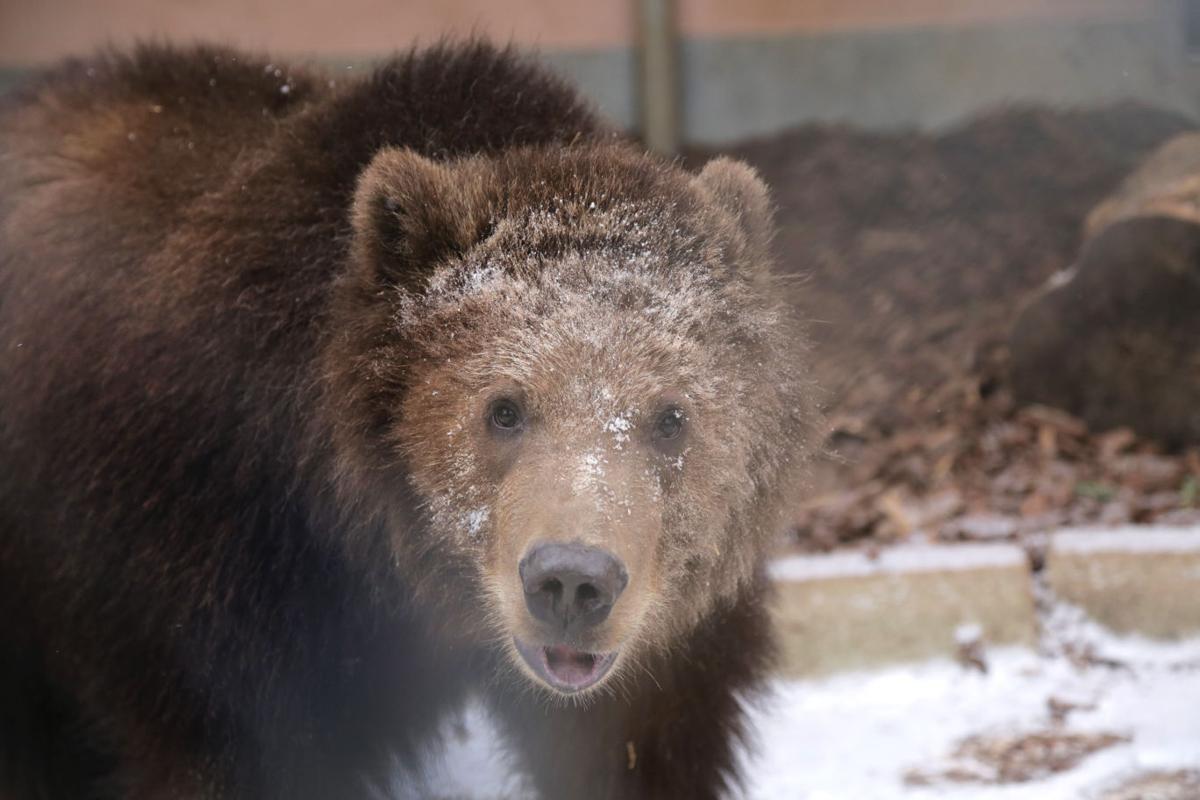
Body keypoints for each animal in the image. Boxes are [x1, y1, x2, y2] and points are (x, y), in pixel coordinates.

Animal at [0, 41, 817, 799]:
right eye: (504, 409)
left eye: (671, 417)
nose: (571, 582)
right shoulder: (212, 569)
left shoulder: (661, 640)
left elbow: (642, 742)